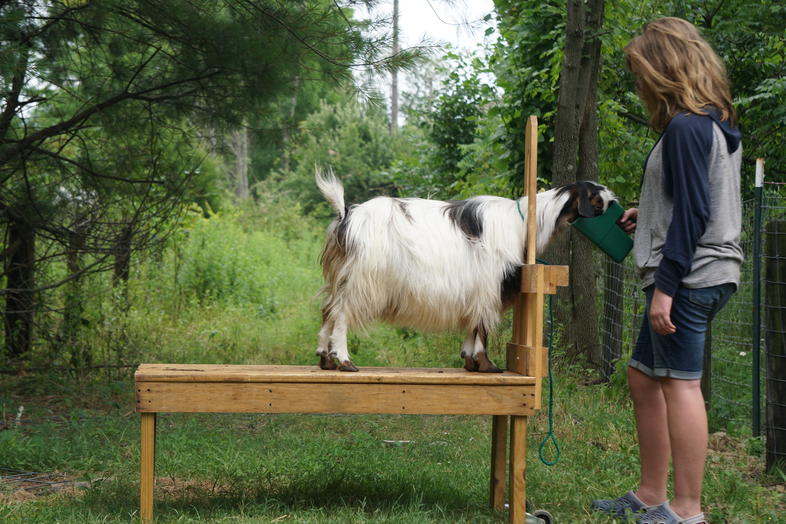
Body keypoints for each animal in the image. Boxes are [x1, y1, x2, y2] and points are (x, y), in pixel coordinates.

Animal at [312, 172, 612, 372]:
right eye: (598, 199)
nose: (616, 211)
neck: (523, 222)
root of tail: (347, 215)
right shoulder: (490, 286)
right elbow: (483, 328)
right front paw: (486, 364)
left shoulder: (477, 290)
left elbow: (473, 323)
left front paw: (469, 360)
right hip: (362, 280)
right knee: (341, 314)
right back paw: (345, 360)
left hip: (343, 277)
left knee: (328, 311)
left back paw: (325, 358)